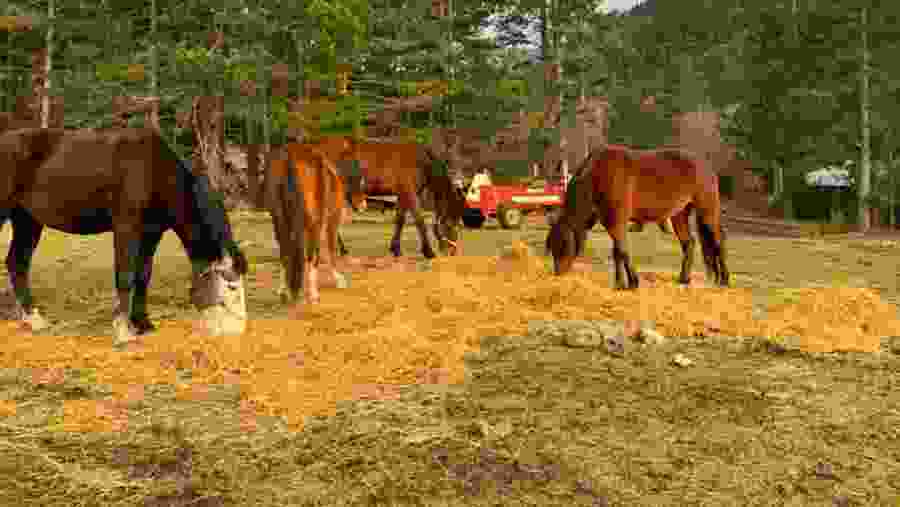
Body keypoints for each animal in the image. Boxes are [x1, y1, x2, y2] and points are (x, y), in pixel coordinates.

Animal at [0, 127, 249, 344]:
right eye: (231, 287)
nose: (239, 330)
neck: (154, 171)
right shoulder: (126, 227)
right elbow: (126, 274)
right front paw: (123, 331)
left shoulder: (151, 234)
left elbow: (143, 275)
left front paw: (143, 324)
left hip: (27, 220)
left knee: (17, 263)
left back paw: (34, 319)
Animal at [265, 142, 366, 305]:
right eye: (357, 165)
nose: (363, 205)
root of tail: (289, 155)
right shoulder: (330, 219)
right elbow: (329, 248)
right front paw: (338, 279)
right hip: (313, 222)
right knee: (310, 252)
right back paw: (312, 293)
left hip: (279, 219)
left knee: (285, 251)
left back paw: (283, 291)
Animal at [546, 144, 729, 289]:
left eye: (563, 244)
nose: (558, 273)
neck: (597, 176)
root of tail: (706, 164)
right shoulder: (611, 222)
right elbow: (617, 252)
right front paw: (620, 283)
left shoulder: (617, 220)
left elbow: (622, 250)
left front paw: (633, 282)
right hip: (679, 214)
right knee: (688, 243)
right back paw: (684, 279)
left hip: (708, 211)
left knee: (718, 240)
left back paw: (724, 280)